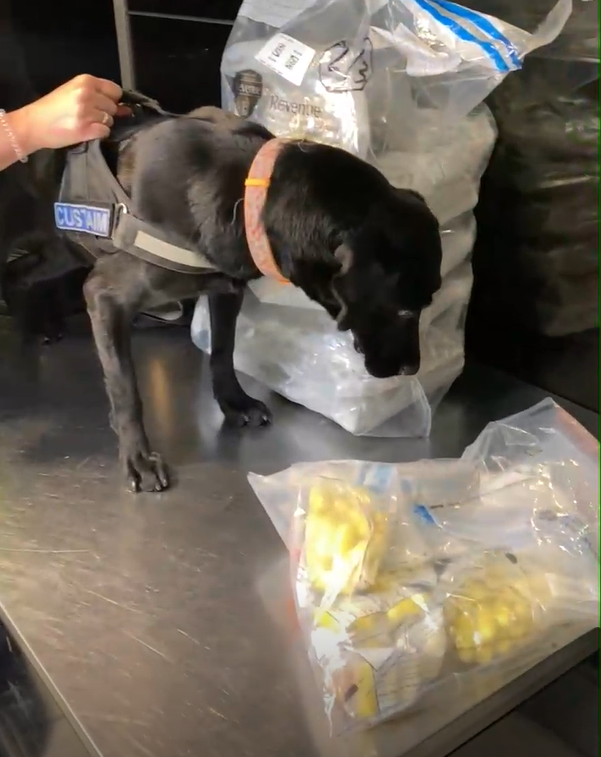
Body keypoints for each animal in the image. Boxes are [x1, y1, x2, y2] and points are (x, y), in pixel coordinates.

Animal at [11, 97, 442, 494]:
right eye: (404, 311)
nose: (412, 368)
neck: (251, 193)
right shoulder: (105, 295)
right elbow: (126, 388)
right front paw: (138, 457)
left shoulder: (224, 289)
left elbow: (222, 351)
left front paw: (235, 402)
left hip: (58, 251)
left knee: (23, 278)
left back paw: (38, 323)